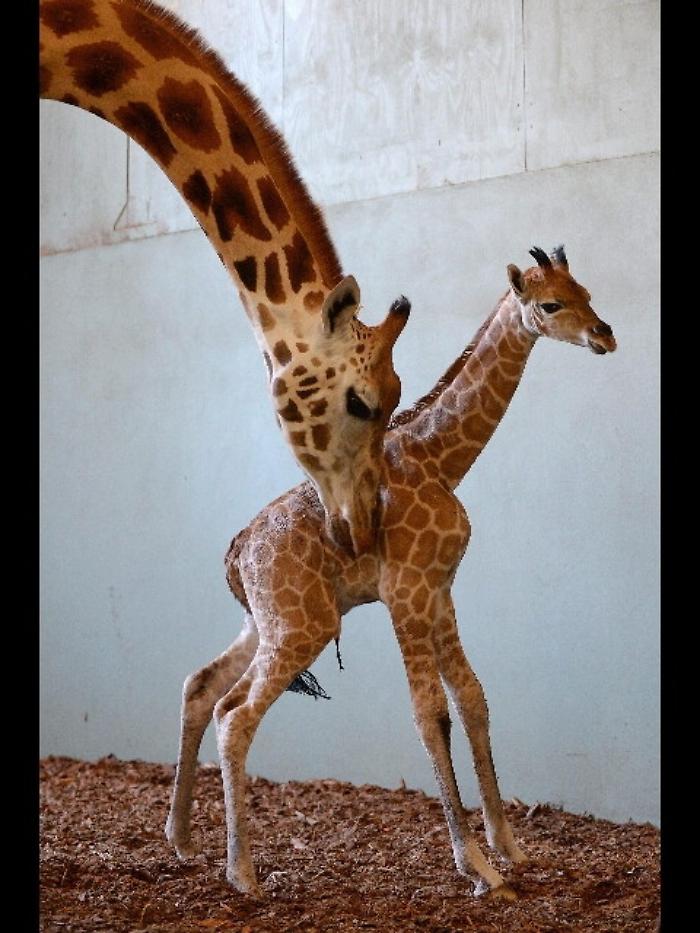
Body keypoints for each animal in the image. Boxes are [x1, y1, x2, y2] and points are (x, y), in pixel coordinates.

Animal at [165, 245, 617, 898]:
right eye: (552, 304)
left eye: (586, 291)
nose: (604, 335)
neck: (442, 459)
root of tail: (237, 550)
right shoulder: (405, 592)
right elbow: (430, 715)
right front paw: (476, 867)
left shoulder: (441, 591)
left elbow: (474, 699)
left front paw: (510, 849)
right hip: (303, 625)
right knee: (236, 714)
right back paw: (243, 873)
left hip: (268, 621)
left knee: (201, 686)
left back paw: (181, 839)